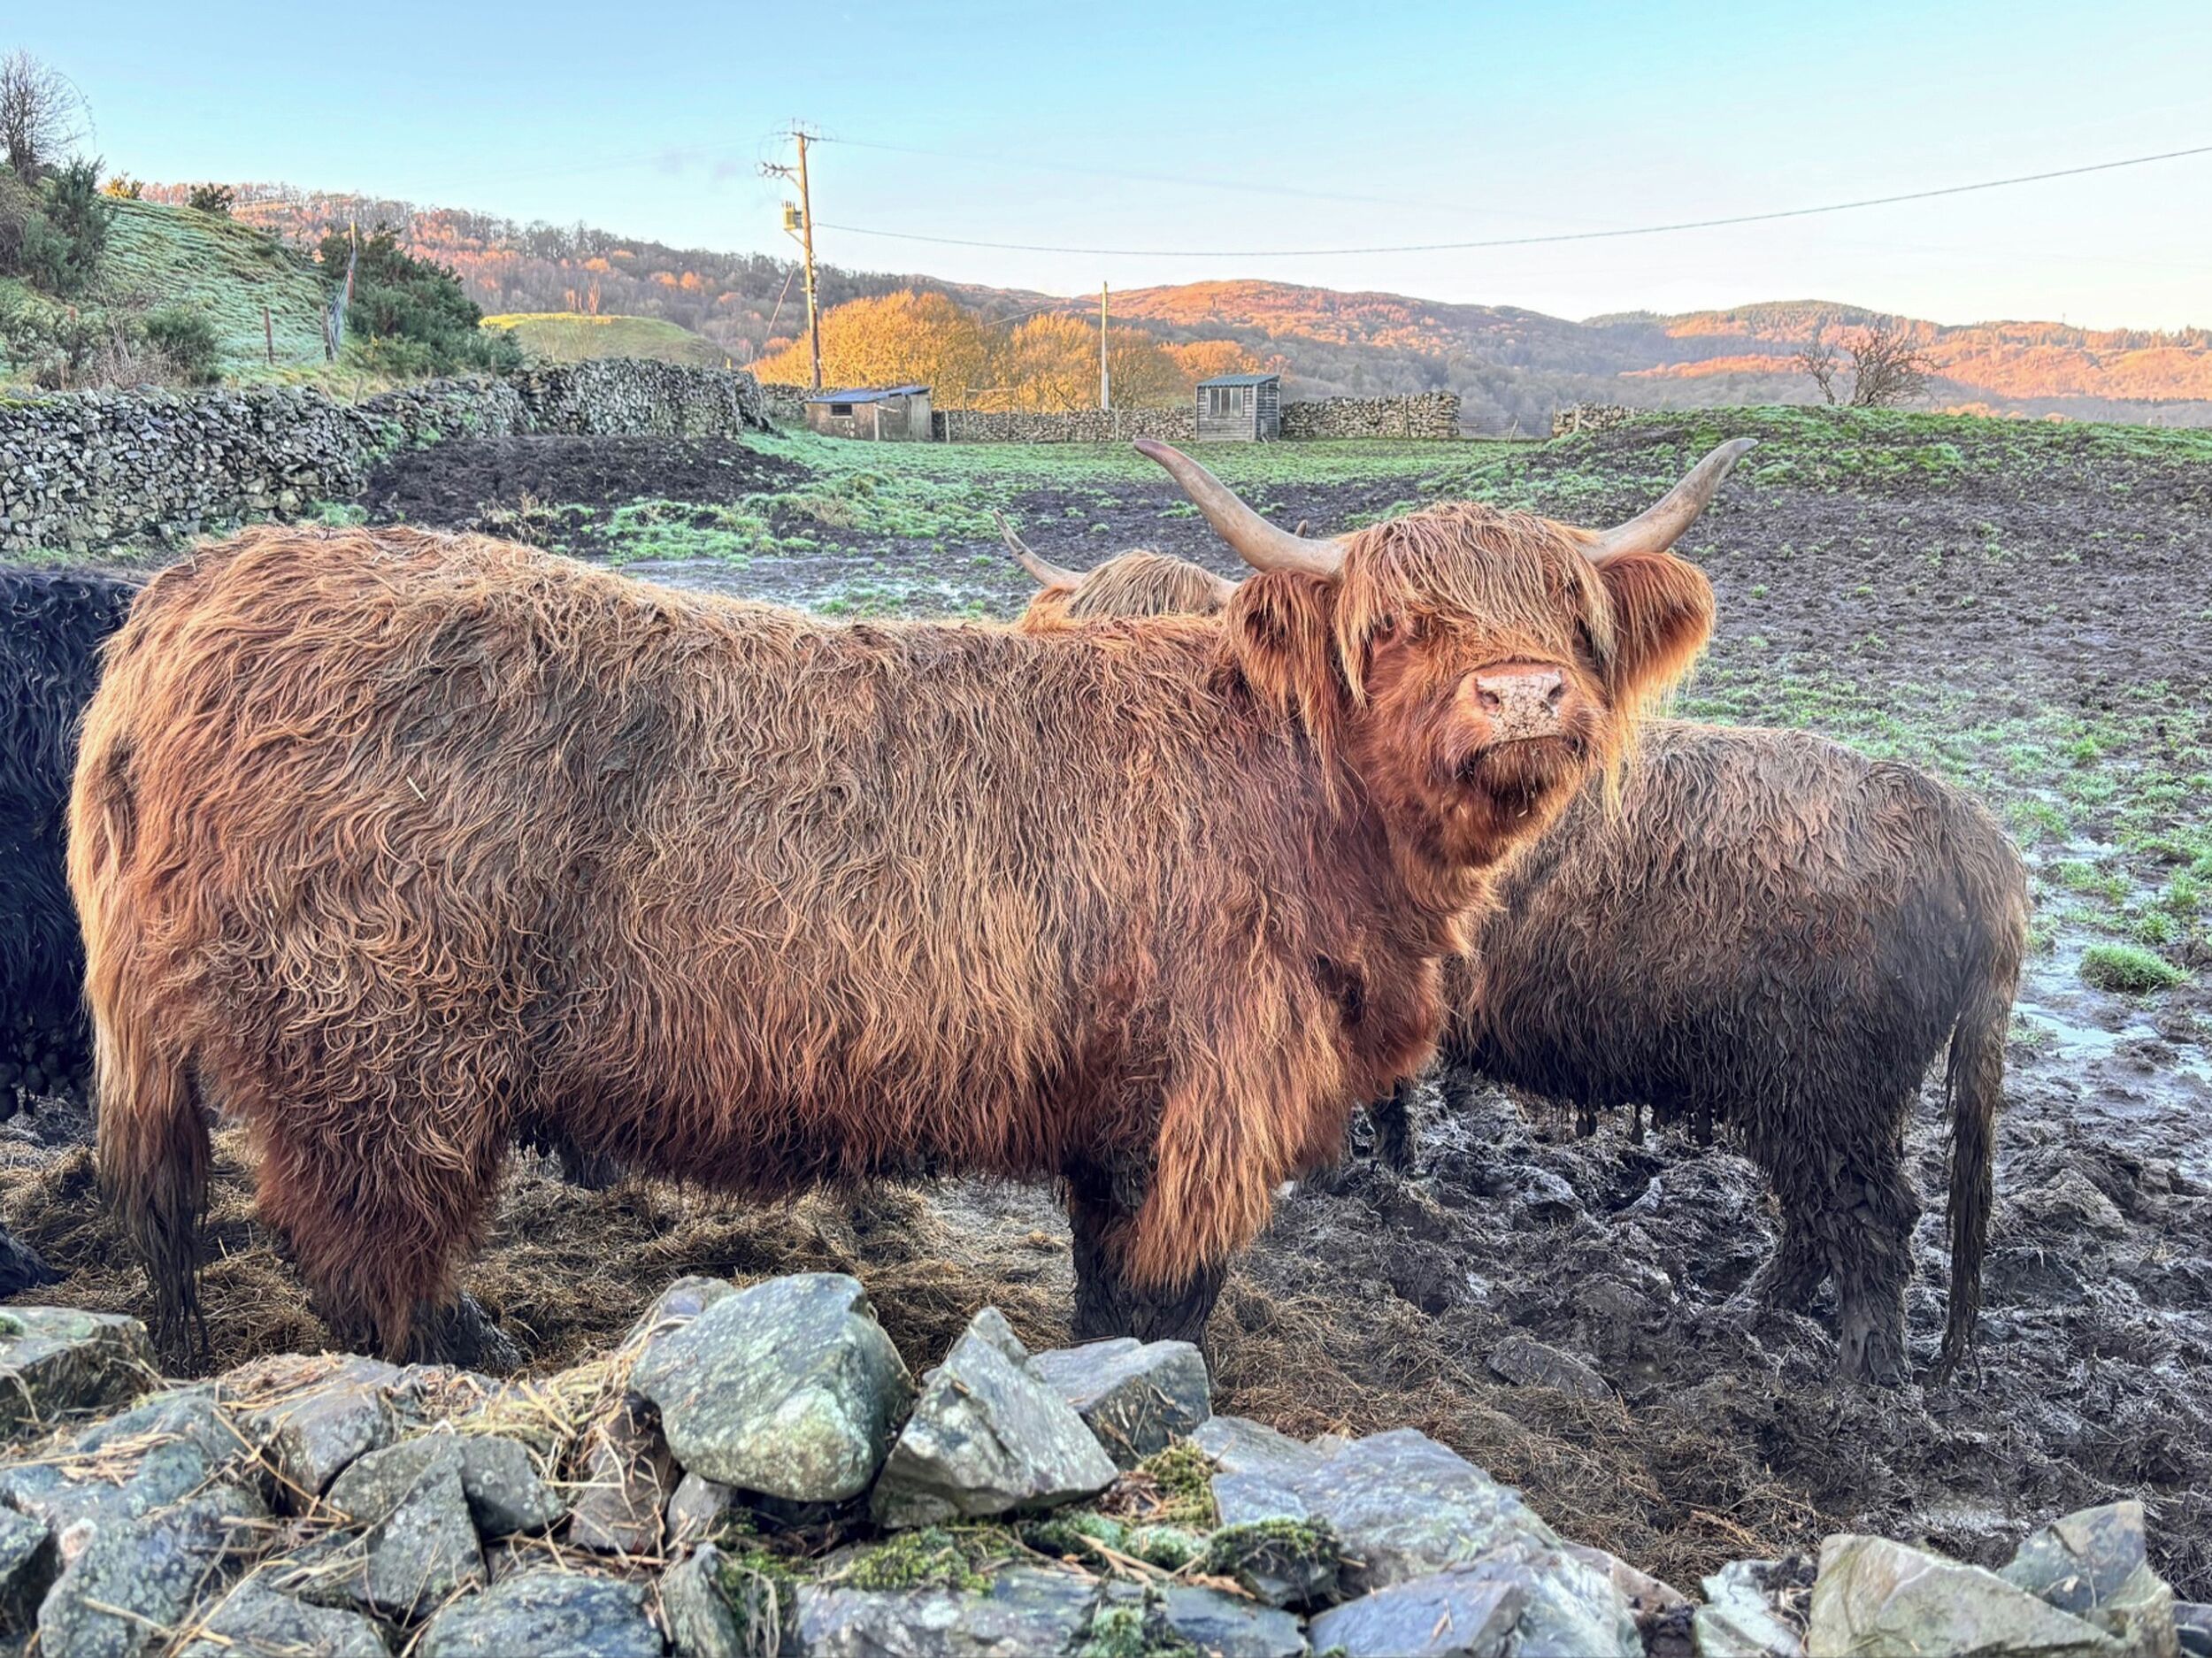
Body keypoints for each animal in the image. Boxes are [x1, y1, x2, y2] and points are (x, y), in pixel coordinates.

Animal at [76, 438, 1743, 1365]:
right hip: (381, 1045)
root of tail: (200, 587)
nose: (1522, 693)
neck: (1301, 793)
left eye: (1575, 619)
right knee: (363, 1248)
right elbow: (1171, 1295)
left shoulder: (1118, 1103)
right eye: (1395, 624)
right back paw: (473, 1350)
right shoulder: (1216, 1090)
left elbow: (1111, 1285)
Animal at [1001, 532, 2028, 1385]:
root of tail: (1961, 821)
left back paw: (1862, 1379)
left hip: (1828, 1085)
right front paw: (1390, 1165)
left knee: (1872, 1220)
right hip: (1801, 1092)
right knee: (1823, 1219)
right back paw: (1750, 1310)